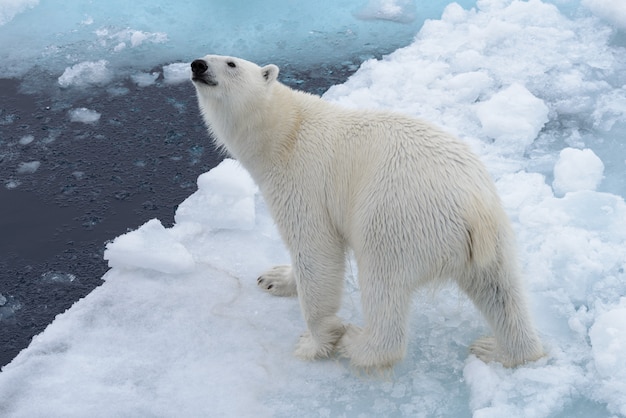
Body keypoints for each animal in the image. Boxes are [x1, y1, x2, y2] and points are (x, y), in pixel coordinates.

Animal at [189, 53, 540, 370]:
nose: (198, 65)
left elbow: (316, 251)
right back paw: (502, 350)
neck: (285, 131)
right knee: (501, 291)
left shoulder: (303, 180)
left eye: (231, 63)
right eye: (206, 57)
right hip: (492, 235)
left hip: (396, 217)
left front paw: (315, 340)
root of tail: (474, 206)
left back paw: (358, 345)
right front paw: (275, 278)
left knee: (383, 284)